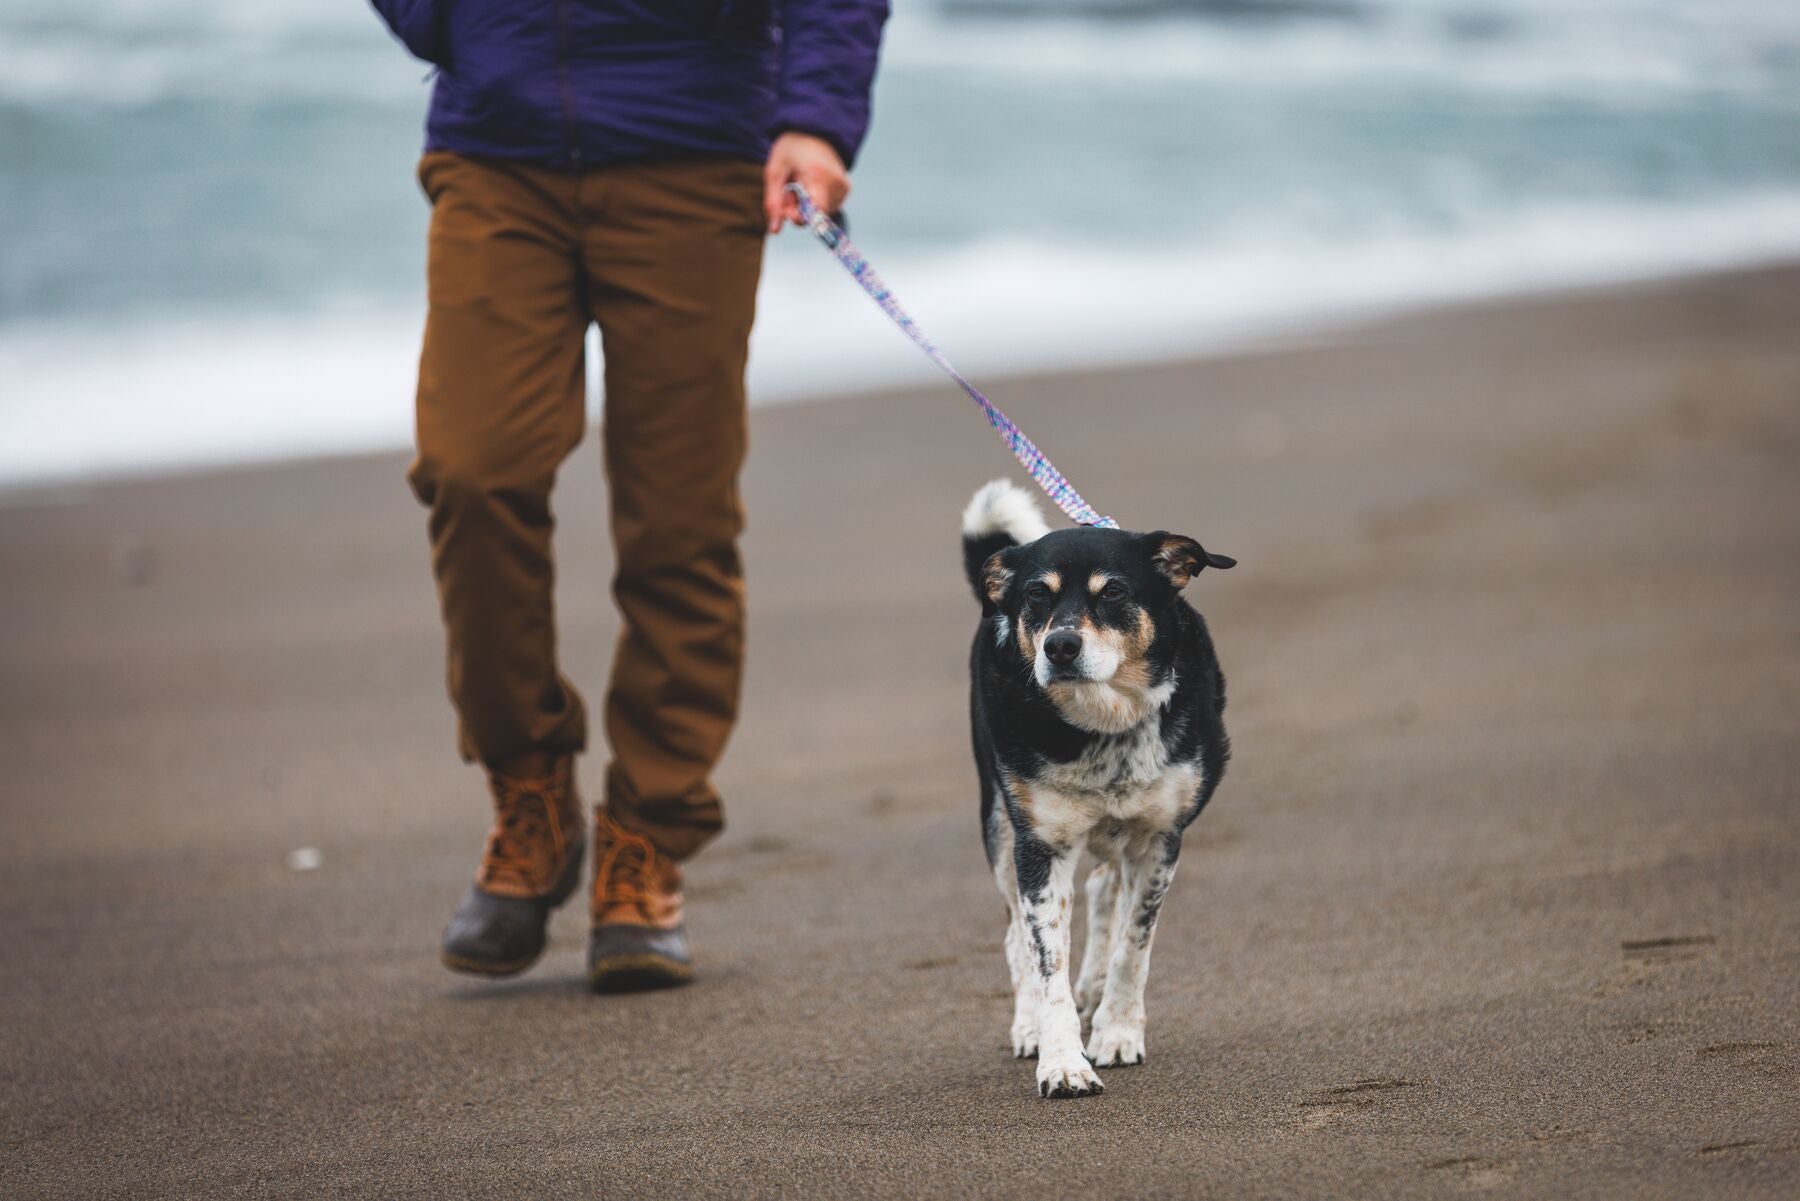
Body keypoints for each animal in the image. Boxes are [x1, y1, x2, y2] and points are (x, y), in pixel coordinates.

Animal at [957, 478, 1238, 1101]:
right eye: (1037, 596)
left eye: (1112, 592)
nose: (1059, 647)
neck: (1106, 721)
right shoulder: (1040, 847)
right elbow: (1046, 961)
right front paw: (1063, 1062)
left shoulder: (1160, 838)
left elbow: (1134, 945)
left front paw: (1118, 1032)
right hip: (998, 823)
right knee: (1015, 935)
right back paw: (1029, 1025)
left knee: (1105, 888)